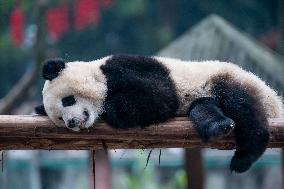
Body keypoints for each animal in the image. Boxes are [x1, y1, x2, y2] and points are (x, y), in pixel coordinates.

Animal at [35, 53, 282, 173]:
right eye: (60, 119)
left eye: (68, 100)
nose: (72, 122)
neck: (98, 72)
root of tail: (275, 101)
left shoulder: (128, 68)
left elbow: (160, 97)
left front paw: (110, 108)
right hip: (204, 98)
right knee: (202, 109)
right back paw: (218, 127)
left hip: (225, 79)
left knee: (242, 106)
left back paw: (244, 157)